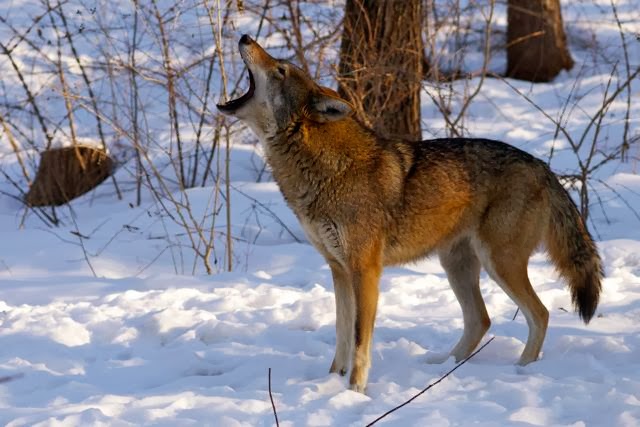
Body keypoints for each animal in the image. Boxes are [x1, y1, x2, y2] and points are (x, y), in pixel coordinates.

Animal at [218, 35, 604, 392]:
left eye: (280, 70)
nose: (245, 37)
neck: (323, 167)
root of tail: (543, 167)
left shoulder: (365, 271)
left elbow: (359, 340)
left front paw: (355, 391)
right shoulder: (338, 270)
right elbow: (341, 336)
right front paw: (331, 383)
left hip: (499, 263)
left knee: (539, 314)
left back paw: (521, 370)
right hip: (457, 266)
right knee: (481, 320)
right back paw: (444, 366)